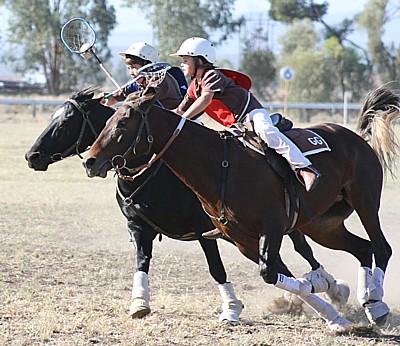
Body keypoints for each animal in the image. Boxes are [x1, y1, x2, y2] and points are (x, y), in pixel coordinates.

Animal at [25, 88, 346, 324]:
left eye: (65, 122)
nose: (32, 156)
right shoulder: (138, 227)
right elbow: (141, 263)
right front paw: (139, 303)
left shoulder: (205, 231)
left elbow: (217, 269)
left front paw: (232, 308)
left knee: (303, 249)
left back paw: (331, 286)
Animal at [82, 85, 400, 332]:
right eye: (109, 120)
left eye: (123, 123)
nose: (90, 161)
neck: (219, 165)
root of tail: (355, 137)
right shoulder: (243, 240)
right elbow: (281, 276)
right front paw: (332, 314)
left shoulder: (271, 228)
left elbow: (271, 274)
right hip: (323, 225)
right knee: (363, 249)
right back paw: (367, 300)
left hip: (365, 201)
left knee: (381, 247)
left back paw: (376, 304)